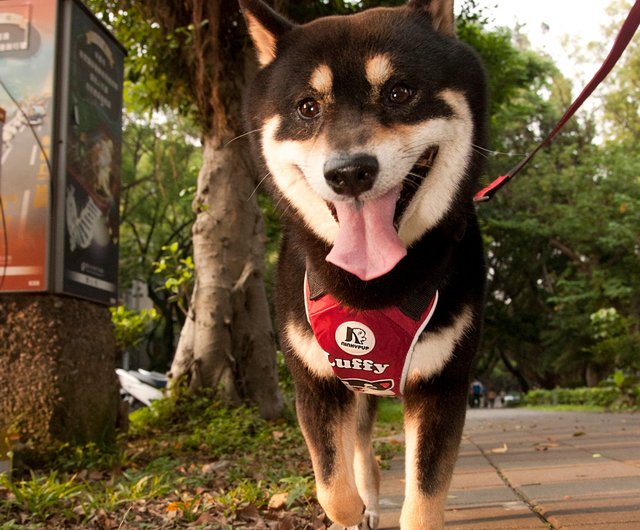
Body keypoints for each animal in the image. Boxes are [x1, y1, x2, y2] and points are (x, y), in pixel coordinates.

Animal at [239, 2, 484, 524]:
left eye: (399, 92)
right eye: (308, 107)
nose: (349, 172)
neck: (370, 289)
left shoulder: (442, 384)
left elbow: (423, 500)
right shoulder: (316, 383)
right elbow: (333, 487)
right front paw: (349, 514)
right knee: (358, 448)